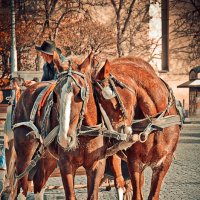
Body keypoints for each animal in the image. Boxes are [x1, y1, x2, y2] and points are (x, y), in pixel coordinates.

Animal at [92, 57, 181, 199]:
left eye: (104, 97)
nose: (114, 135)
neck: (154, 123)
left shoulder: (163, 163)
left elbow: (152, 195)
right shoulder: (134, 162)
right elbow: (136, 194)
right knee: (119, 182)